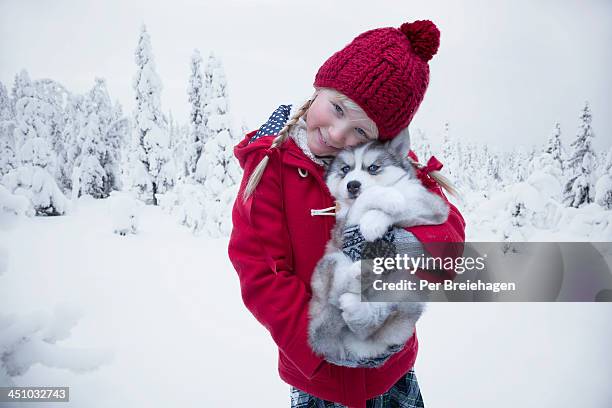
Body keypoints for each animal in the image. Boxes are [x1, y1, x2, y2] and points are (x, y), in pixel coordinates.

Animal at [308, 132, 448, 364]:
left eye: (373, 167)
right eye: (345, 169)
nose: (352, 185)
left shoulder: (433, 207)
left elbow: (405, 201)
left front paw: (377, 217)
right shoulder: (343, 225)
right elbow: (365, 201)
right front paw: (385, 201)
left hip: (409, 293)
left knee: (373, 322)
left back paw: (360, 309)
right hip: (331, 262)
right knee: (339, 293)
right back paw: (363, 275)